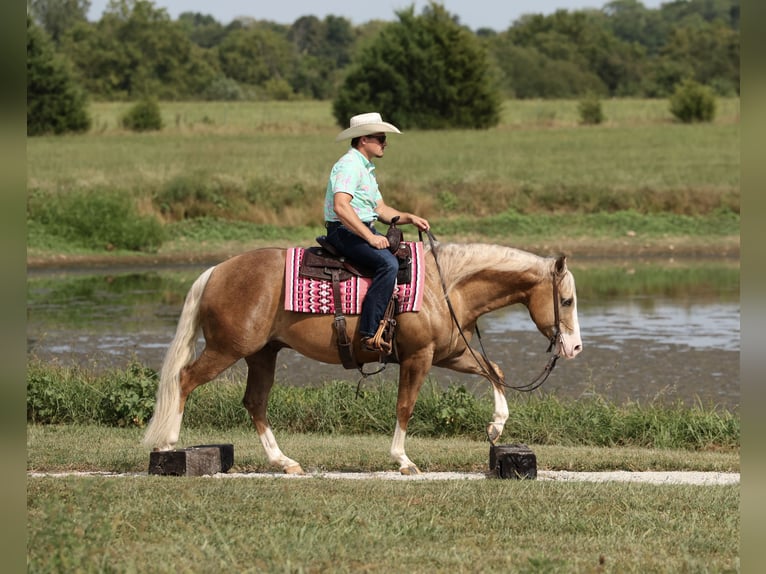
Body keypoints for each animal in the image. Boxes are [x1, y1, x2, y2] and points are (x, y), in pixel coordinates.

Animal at [142, 241, 582, 475]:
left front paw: (496, 427)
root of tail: (216, 271)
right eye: (567, 300)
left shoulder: (451, 354)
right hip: (228, 350)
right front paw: (403, 460)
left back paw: (284, 461)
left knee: (255, 402)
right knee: (184, 380)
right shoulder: (418, 358)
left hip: (262, 355)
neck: (446, 287)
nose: (575, 348)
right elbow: (405, 407)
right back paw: (167, 444)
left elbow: (496, 370)